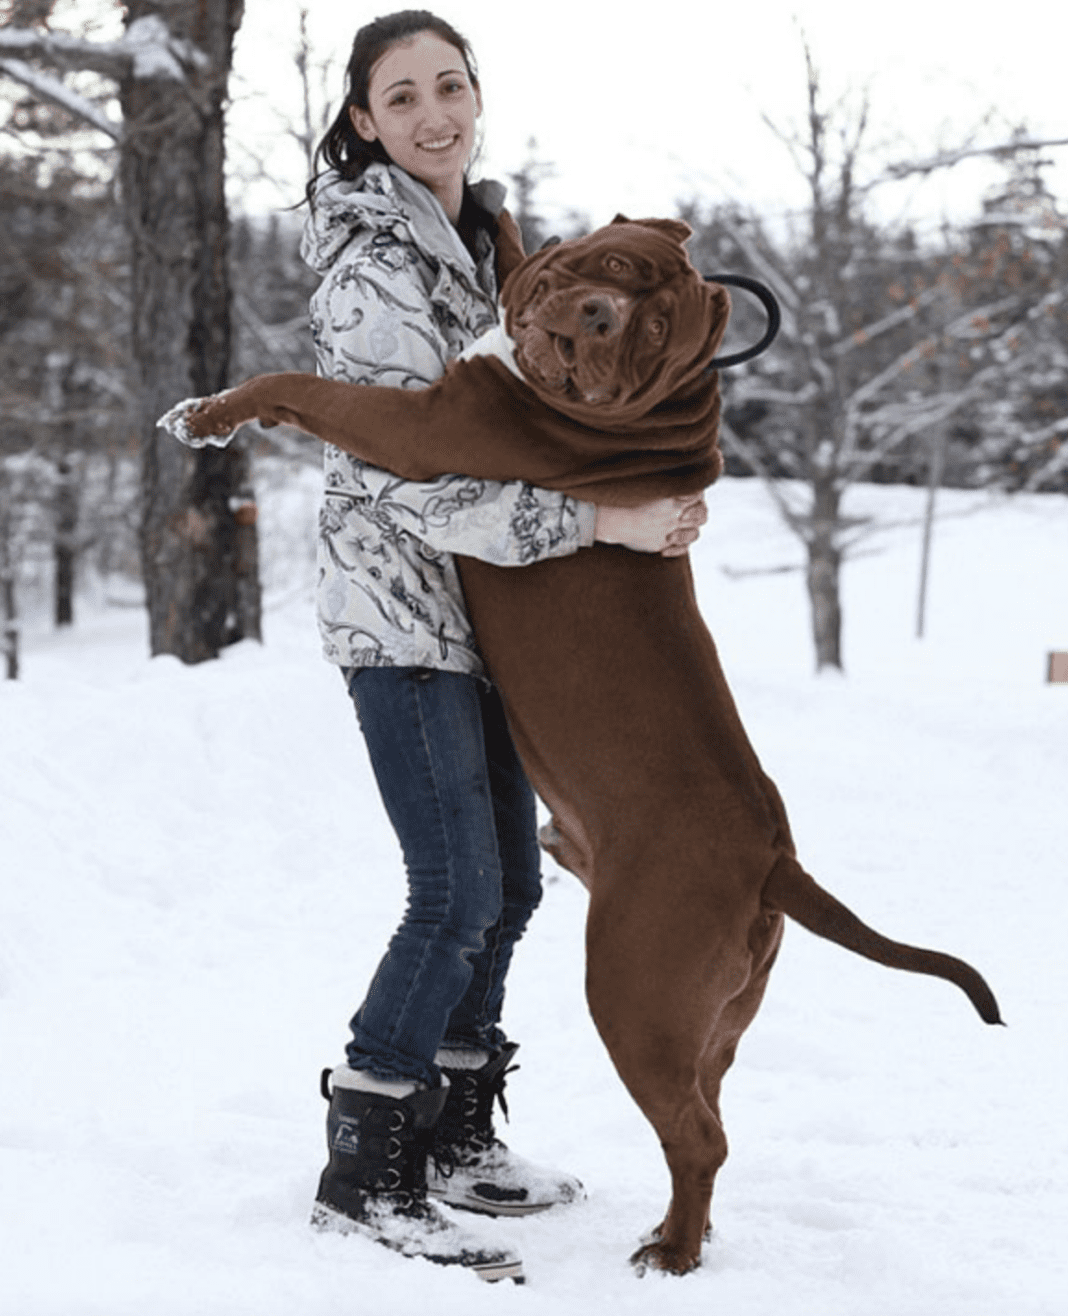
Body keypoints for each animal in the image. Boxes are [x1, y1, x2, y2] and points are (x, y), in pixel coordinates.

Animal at [162, 213, 999, 1273]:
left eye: (652, 330)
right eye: (616, 267)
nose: (599, 315)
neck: (663, 407)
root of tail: (775, 859)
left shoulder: (421, 428)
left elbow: (304, 387)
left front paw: (209, 413)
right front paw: (498, 216)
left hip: (636, 990)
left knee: (698, 1133)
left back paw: (671, 1255)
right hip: (712, 1019)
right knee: (707, 1113)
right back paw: (680, 1231)